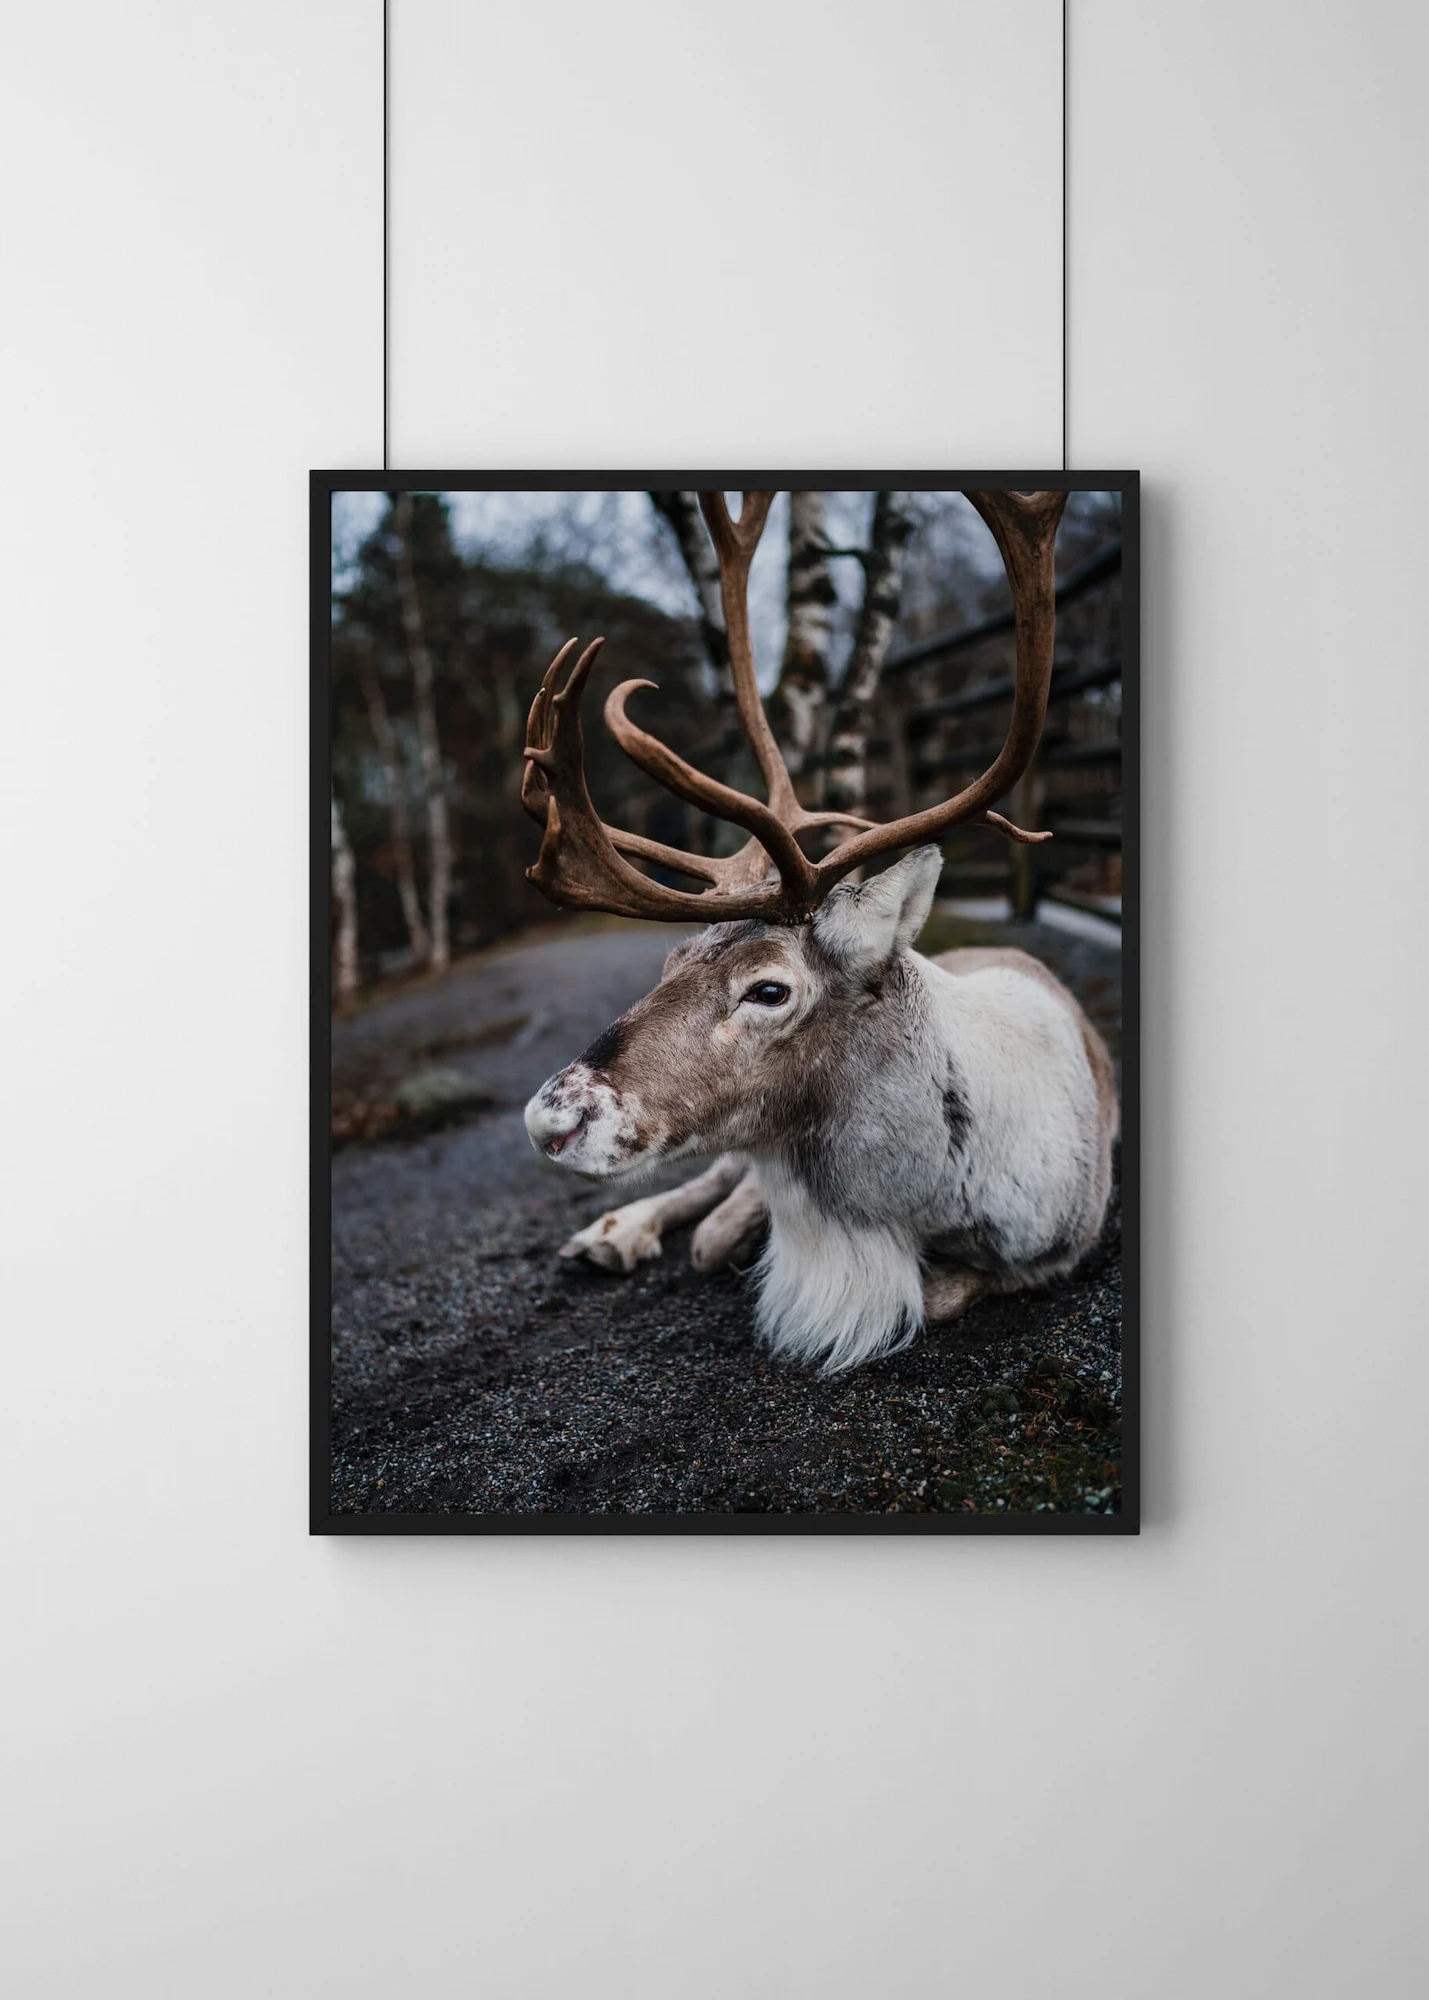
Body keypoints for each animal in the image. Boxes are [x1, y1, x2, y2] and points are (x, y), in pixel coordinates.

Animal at [521, 492, 1118, 1372]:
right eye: (670, 959)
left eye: (768, 990)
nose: (552, 1119)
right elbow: (718, 1230)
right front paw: (715, 1231)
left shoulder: (1056, 1247)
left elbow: (934, 1295)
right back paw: (613, 1232)